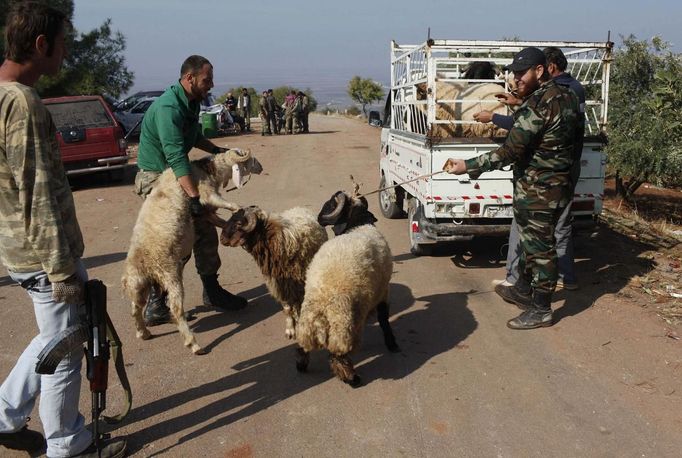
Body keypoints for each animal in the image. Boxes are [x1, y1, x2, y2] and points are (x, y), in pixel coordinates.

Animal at [296, 190, 402, 386]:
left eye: (329, 205)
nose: (319, 219)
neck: (358, 225)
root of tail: (323, 300)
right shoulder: (383, 291)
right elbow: (384, 320)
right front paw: (392, 344)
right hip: (345, 326)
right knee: (337, 356)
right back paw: (352, 378)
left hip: (307, 319)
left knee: (303, 345)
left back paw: (301, 365)